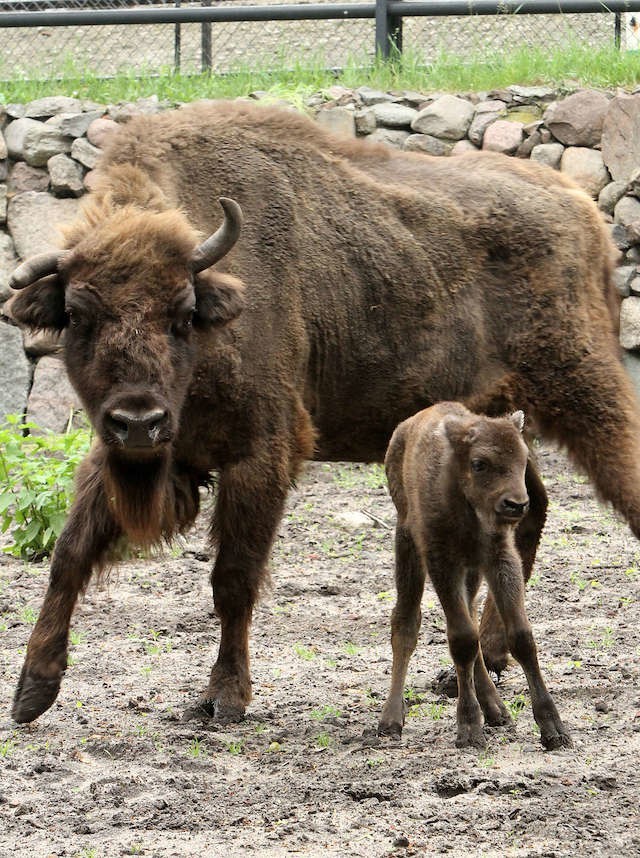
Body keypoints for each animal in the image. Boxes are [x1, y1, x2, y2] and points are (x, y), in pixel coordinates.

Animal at [378, 404, 572, 744]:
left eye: (522, 458)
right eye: (479, 463)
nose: (517, 504)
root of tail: (405, 427)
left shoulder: (499, 560)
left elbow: (520, 637)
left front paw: (554, 729)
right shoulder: (443, 563)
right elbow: (462, 639)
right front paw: (468, 729)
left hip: (471, 573)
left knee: (470, 615)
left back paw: (496, 711)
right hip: (407, 544)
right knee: (405, 622)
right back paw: (390, 721)